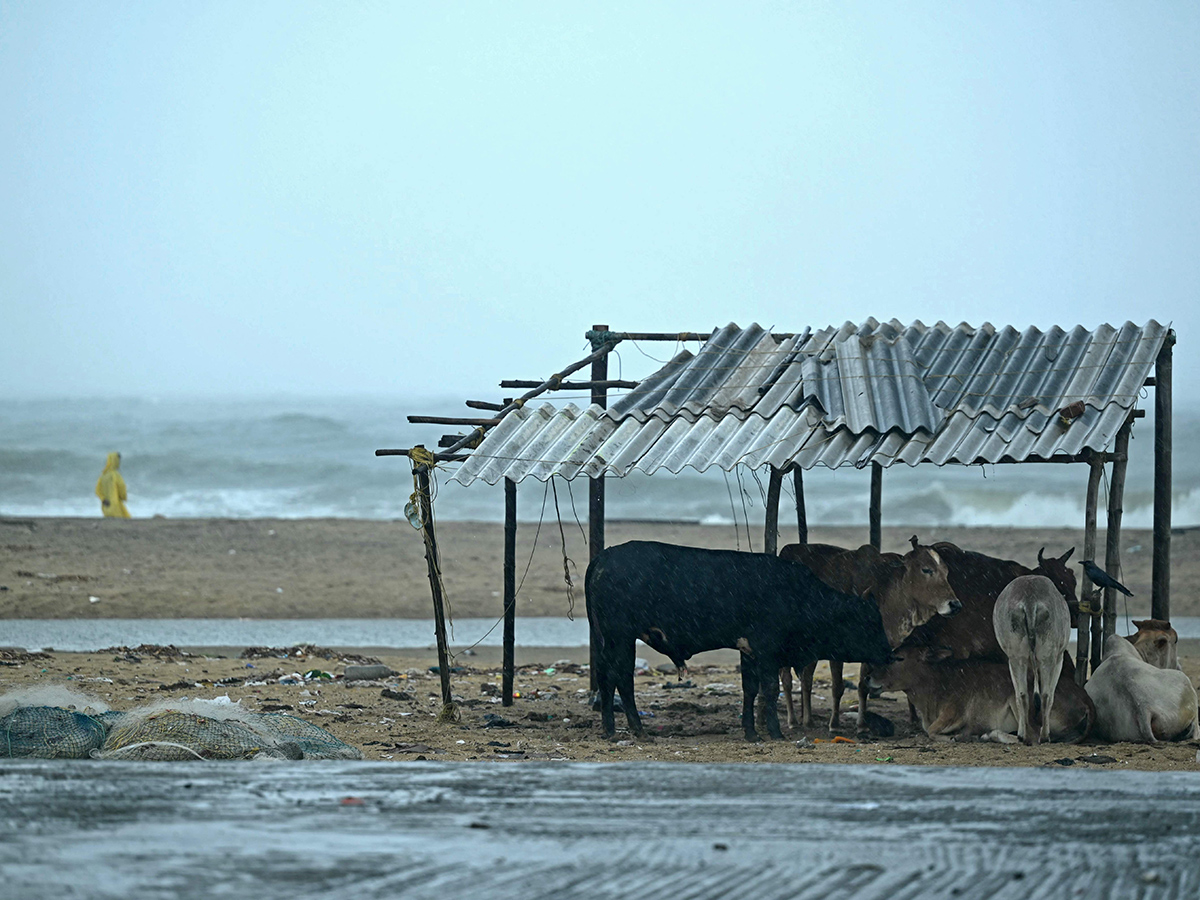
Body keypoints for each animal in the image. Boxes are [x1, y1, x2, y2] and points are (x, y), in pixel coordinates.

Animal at [585, 542, 897, 739]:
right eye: (868, 622)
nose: (890, 653)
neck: (799, 595)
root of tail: (604, 557)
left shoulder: (748, 651)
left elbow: (750, 690)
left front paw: (751, 732)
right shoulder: (768, 649)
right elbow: (770, 690)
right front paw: (775, 732)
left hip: (610, 640)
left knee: (610, 678)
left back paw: (613, 730)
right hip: (619, 637)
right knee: (619, 679)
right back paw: (630, 730)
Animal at [777, 540, 964, 734]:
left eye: (946, 572)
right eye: (926, 569)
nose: (955, 605)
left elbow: (863, 686)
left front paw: (861, 725)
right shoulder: (836, 650)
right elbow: (838, 687)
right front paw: (834, 725)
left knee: (806, 678)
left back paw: (808, 720)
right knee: (787, 678)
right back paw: (793, 721)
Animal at [993, 578, 1070, 748]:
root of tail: (1030, 601)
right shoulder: (1058, 659)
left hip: (1017, 656)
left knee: (1024, 694)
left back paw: (1025, 736)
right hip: (1047, 655)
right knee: (1045, 695)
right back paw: (1044, 736)